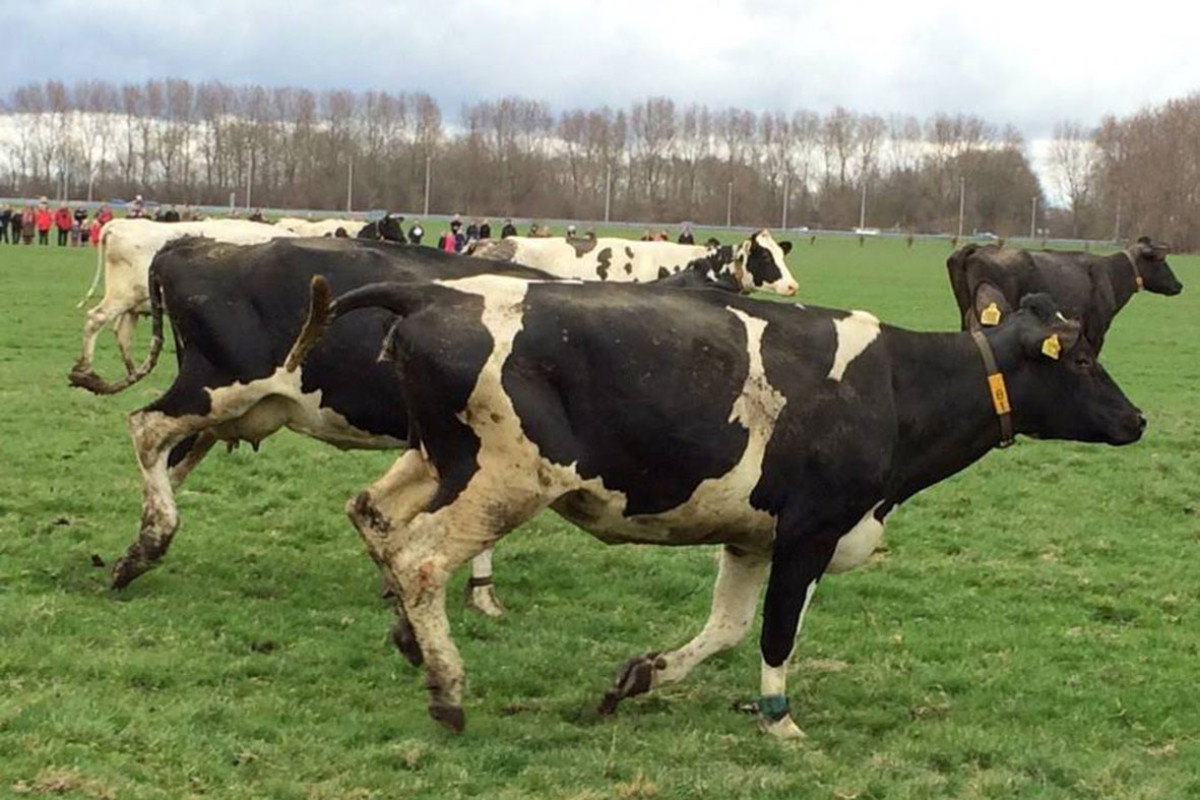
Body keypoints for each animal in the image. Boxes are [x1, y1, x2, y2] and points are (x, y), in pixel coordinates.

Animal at [71, 219, 298, 393]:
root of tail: (119, 224)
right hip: (121, 296)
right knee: (95, 318)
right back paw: (86, 369)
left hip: (132, 304)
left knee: (122, 334)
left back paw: (131, 372)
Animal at [288, 275, 1142, 738]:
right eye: (1083, 359)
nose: (1137, 419)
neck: (897, 387)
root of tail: (431, 292)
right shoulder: (810, 533)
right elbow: (775, 633)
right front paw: (780, 720)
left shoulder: (751, 537)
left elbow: (726, 628)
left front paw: (639, 677)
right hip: (505, 479)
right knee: (422, 558)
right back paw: (448, 688)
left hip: (439, 458)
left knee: (374, 517)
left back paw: (410, 641)